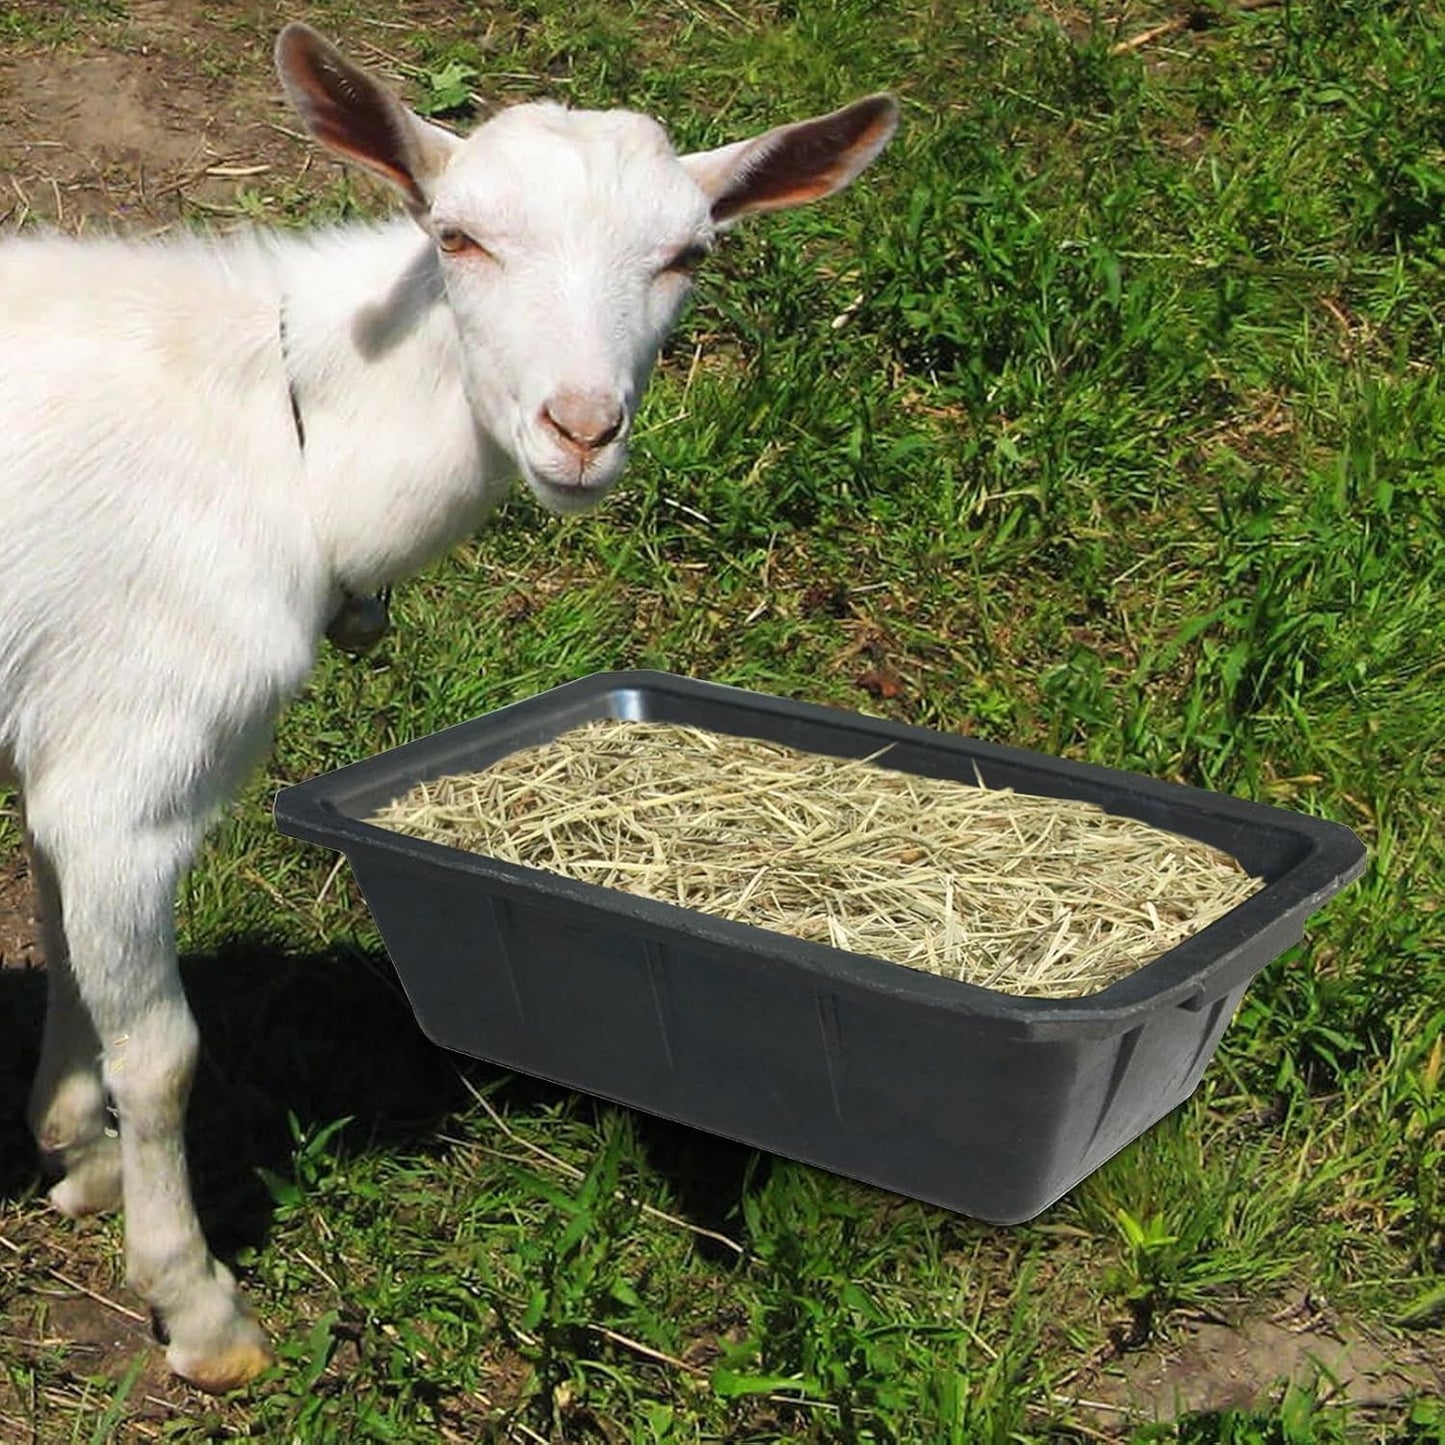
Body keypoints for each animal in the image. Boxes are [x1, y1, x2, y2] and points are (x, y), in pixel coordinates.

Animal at [0, 23, 896, 1390]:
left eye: (687, 255)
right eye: (458, 236)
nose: (580, 429)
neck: (288, 433)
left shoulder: (74, 724)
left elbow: (62, 934)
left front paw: (73, 1147)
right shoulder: (136, 759)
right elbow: (162, 1051)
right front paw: (198, 1307)